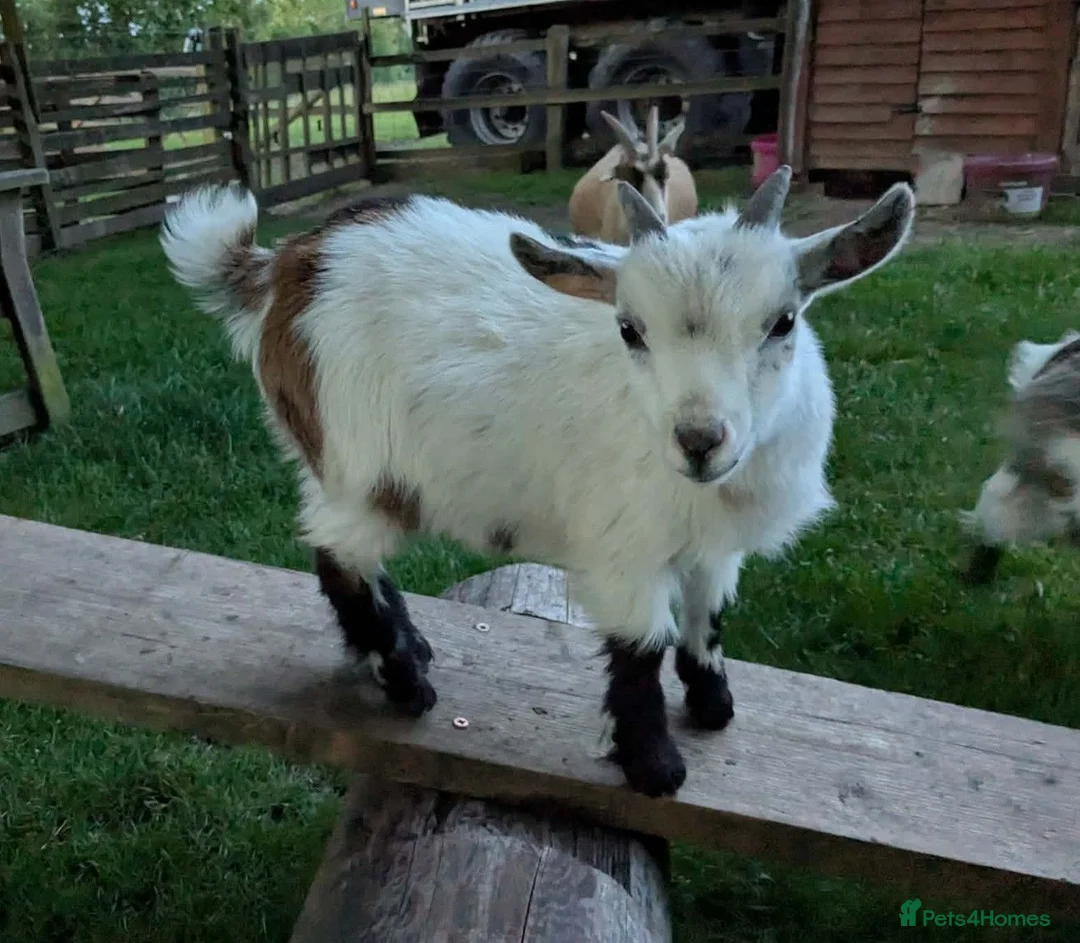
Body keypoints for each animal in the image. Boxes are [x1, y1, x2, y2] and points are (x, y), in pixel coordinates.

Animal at [160, 167, 916, 797]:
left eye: (783, 321)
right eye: (630, 329)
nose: (700, 441)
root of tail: (286, 266)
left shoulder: (712, 546)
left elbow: (708, 619)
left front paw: (713, 706)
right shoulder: (624, 550)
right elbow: (641, 649)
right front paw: (655, 768)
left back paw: (410, 648)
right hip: (360, 466)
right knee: (338, 556)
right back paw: (406, 684)